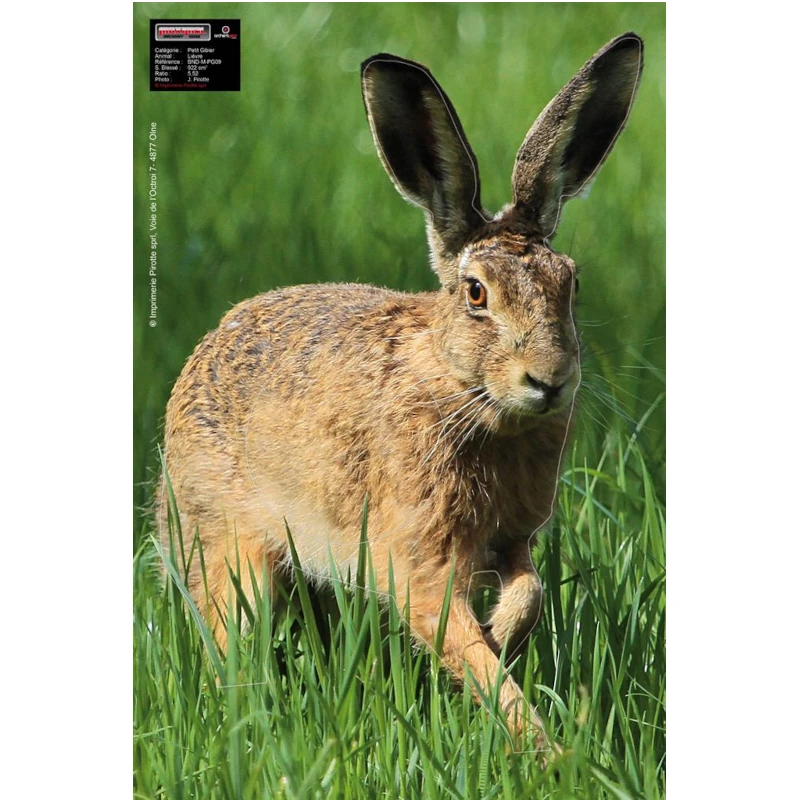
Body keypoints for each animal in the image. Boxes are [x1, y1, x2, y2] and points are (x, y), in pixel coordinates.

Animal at [158, 32, 643, 759]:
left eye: (572, 284)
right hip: (231, 548)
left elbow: (528, 594)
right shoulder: (420, 561)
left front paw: (500, 636)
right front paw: (548, 753)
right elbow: (458, 639)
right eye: (476, 293)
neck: (463, 391)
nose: (549, 380)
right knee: (231, 635)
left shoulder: (511, 540)